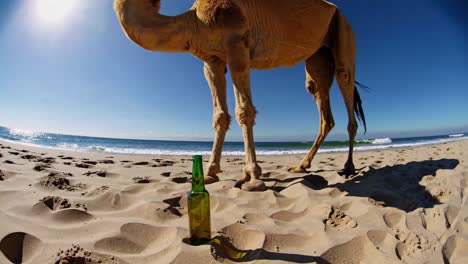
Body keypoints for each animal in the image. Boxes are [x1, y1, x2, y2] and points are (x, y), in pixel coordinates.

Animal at [113, 0, 366, 191]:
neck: (194, 20)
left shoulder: (237, 44)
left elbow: (244, 110)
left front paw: (253, 176)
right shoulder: (212, 60)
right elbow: (220, 116)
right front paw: (210, 172)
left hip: (344, 31)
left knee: (345, 82)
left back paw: (348, 167)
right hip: (318, 56)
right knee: (322, 106)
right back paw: (301, 166)